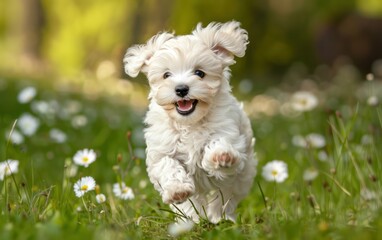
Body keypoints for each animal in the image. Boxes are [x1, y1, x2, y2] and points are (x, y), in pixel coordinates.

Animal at [124, 21, 258, 223]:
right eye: (166, 75)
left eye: (199, 73)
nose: (181, 89)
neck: (188, 123)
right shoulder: (161, 151)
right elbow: (167, 164)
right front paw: (177, 189)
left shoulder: (230, 134)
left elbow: (220, 143)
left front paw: (221, 155)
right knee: (193, 202)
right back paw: (191, 220)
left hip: (242, 176)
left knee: (225, 197)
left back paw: (220, 218)